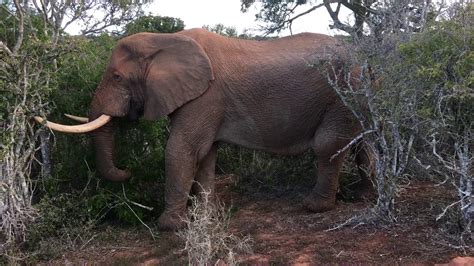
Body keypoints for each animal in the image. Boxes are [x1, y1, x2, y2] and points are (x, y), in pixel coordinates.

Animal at [36, 28, 374, 230]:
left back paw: (315, 206)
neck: (164, 39)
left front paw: (170, 226)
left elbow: (182, 149)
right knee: (363, 142)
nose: (128, 171)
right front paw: (205, 216)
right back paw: (365, 196)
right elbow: (206, 154)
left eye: (117, 77)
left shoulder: (205, 96)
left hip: (343, 91)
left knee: (329, 145)